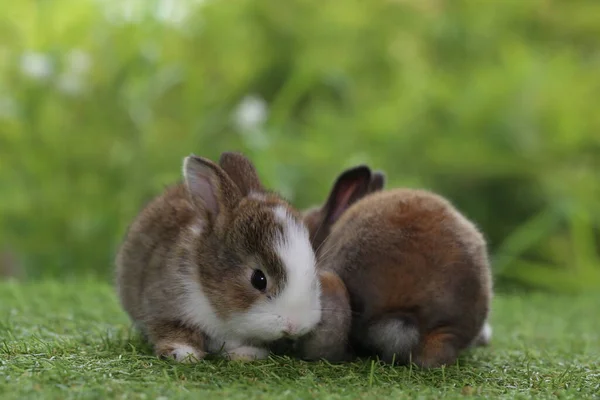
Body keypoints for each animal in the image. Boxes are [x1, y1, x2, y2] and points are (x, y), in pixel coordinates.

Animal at [116, 151, 324, 362]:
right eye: (258, 279)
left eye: (314, 277)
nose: (294, 325)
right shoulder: (162, 308)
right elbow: (173, 330)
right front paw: (183, 353)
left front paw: (246, 353)